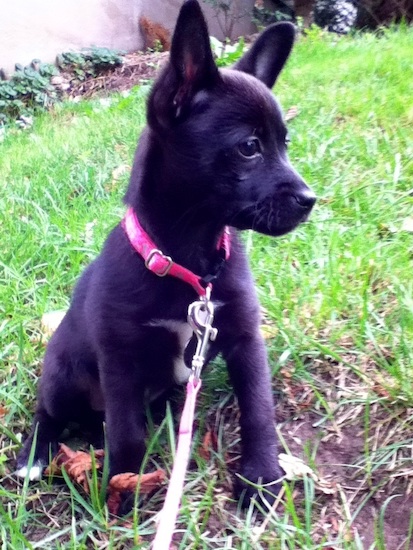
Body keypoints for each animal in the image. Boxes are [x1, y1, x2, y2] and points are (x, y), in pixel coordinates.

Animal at [14, 0, 314, 508]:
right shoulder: (119, 357)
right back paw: (35, 455)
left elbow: (258, 409)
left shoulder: (244, 337)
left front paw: (260, 476)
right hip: (63, 374)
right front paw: (122, 487)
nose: (311, 200)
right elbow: (126, 431)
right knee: (47, 412)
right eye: (250, 147)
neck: (190, 262)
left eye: (284, 144)